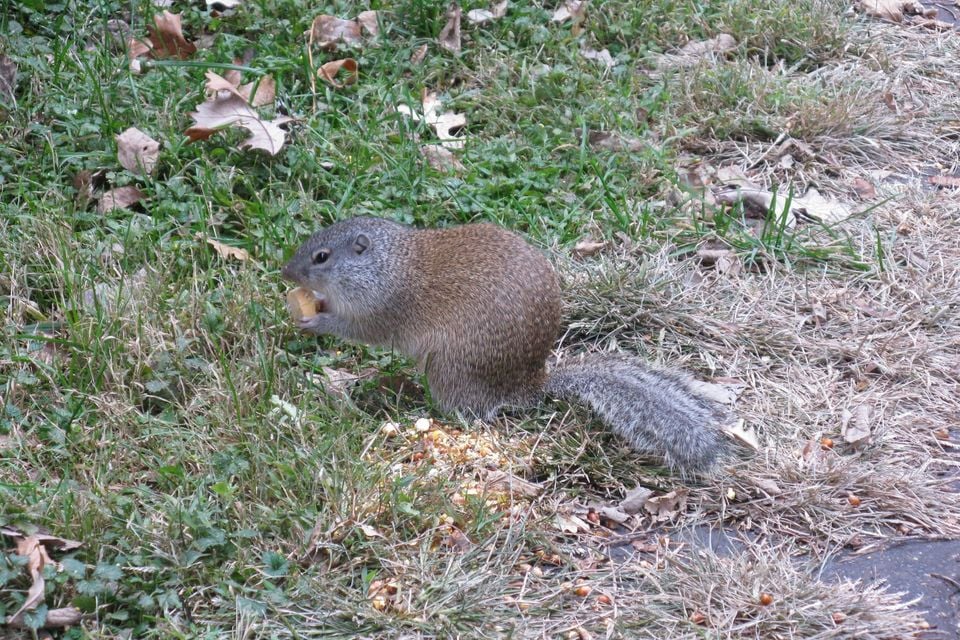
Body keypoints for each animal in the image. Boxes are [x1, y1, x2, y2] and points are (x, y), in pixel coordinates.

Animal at [281, 216, 732, 475]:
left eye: (322, 256)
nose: (285, 272)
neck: (388, 265)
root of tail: (529, 385)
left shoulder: (382, 308)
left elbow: (356, 329)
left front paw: (313, 319)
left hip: (447, 369)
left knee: (470, 412)